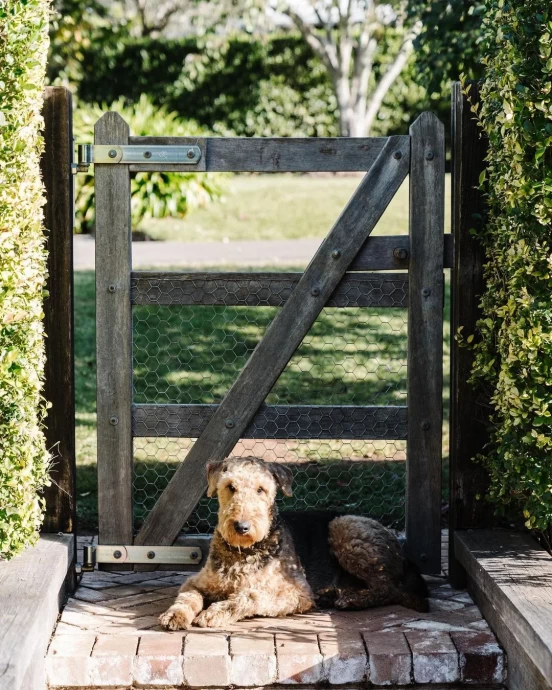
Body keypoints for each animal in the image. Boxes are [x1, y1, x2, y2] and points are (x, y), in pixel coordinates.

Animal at [158, 454, 426, 628]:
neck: (244, 552)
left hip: (344, 527)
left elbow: (250, 595)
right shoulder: (197, 582)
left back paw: (351, 600)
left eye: (261, 489)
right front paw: (174, 615)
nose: (242, 527)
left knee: (387, 588)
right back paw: (333, 594)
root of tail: (402, 553)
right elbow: (187, 598)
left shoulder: (295, 592)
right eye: (230, 487)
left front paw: (215, 612)